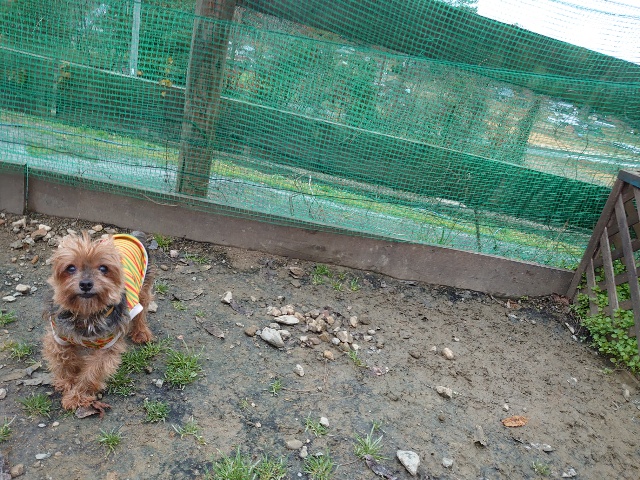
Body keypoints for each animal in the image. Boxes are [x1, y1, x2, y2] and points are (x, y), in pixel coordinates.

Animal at [43, 232, 154, 416]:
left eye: (103, 268)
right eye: (70, 268)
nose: (86, 284)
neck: (87, 314)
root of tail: (129, 235)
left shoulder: (107, 347)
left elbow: (92, 373)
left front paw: (76, 397)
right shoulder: (59, 336)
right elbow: (63, 360)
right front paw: (67, 382)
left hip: (142, 287)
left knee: (142, 308)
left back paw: (141, 332)